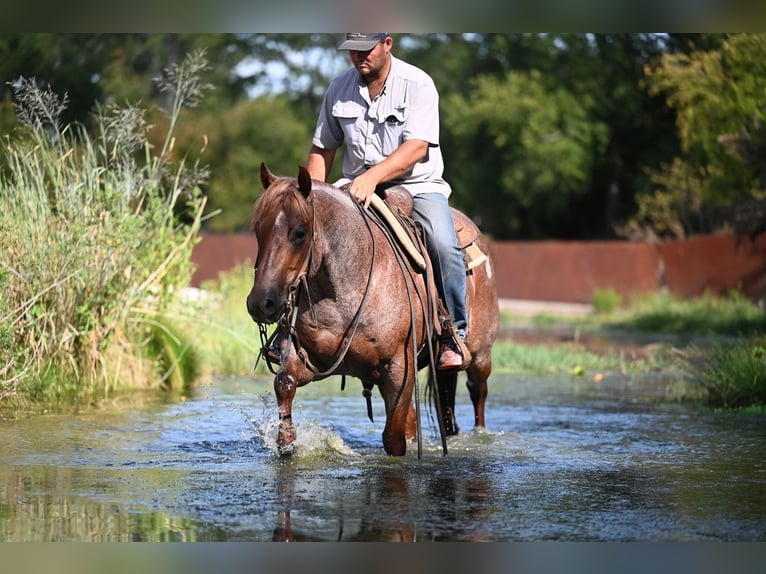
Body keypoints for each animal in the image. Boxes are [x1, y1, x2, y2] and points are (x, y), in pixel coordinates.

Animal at [246, 163, 499, 456]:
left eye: (299, 232)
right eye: (258, 229)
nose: (261, 303)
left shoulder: (399, 369)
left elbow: (394, 439)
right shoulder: (310, 358)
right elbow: (284, 383)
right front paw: (287, 440)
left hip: (480, 355)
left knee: (478, 393)